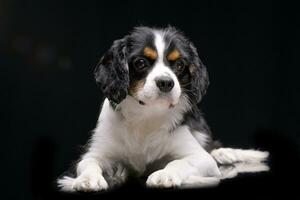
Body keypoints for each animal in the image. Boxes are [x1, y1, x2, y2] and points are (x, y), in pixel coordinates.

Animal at [57, 25, 268, 191]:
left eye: (180, 64)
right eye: (141, 62)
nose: (166, 82)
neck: (146, 115)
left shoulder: (201, 159)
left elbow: (180, 161)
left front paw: (164, 175)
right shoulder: (94, 152)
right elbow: (88, 163)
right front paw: (88, 179)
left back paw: (223, 153)